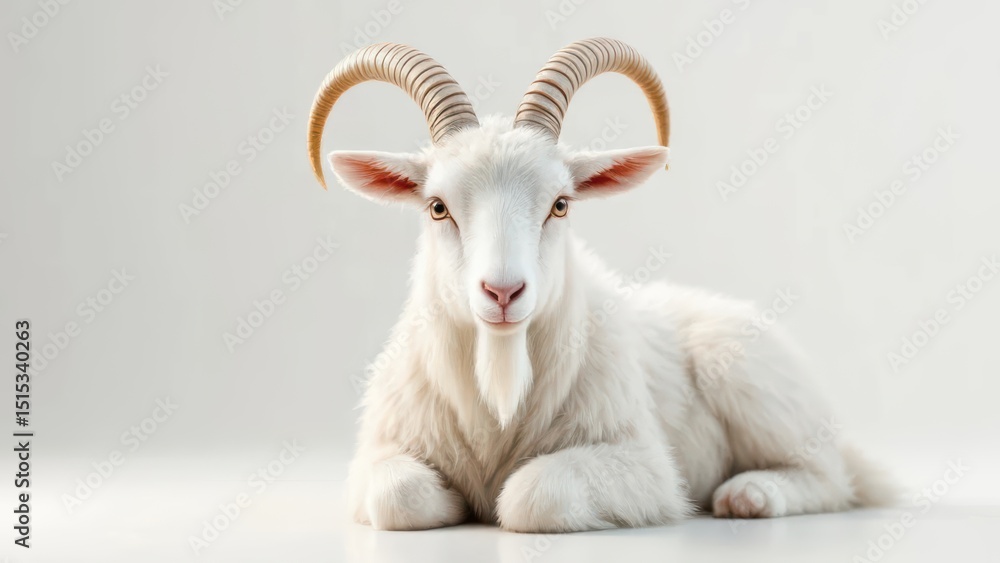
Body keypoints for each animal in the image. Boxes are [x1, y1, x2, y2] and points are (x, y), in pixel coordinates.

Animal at [306, 37, 893, 532]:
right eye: (436, 207)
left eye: (561, 204)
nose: (503, 293)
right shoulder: (379, 452)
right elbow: (399, 497)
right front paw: (452, 500)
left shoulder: (645, 466)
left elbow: (534, 496)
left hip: (754, 379)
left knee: (832, 478)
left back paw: (748, 495)